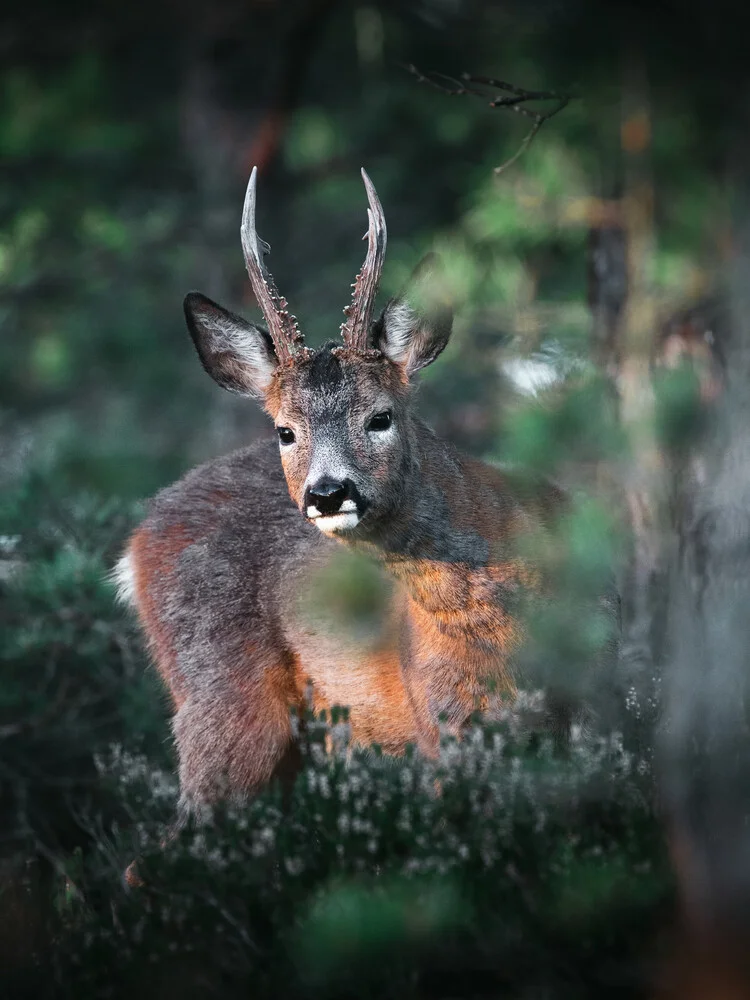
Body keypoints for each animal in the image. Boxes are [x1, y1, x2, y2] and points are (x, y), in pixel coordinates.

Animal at [114, 166, 620, 820]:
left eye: (380, 416)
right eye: (285, 431)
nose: (328, 492)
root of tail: (137, 542)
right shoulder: (440, 723)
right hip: (223, 696)